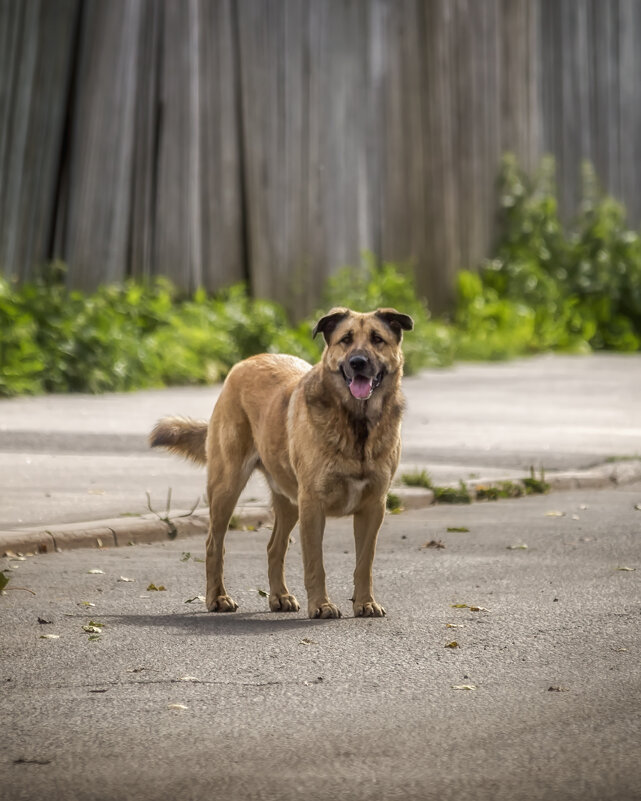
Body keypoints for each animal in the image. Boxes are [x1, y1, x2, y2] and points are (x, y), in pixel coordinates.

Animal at [149, 306, 412, 620]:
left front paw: (365, 602)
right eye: (345, 340)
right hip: (228, 487)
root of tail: (246, 361)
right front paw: (321, 605)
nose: (358, 362)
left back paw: (280, 596)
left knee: (274, 547)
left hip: (289, 501)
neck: (356, 423)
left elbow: (364, 563)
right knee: (215, 545)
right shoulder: (313, 505)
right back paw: (218, 598)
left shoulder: (373, 507)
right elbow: (315, 563)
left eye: (377, 339)